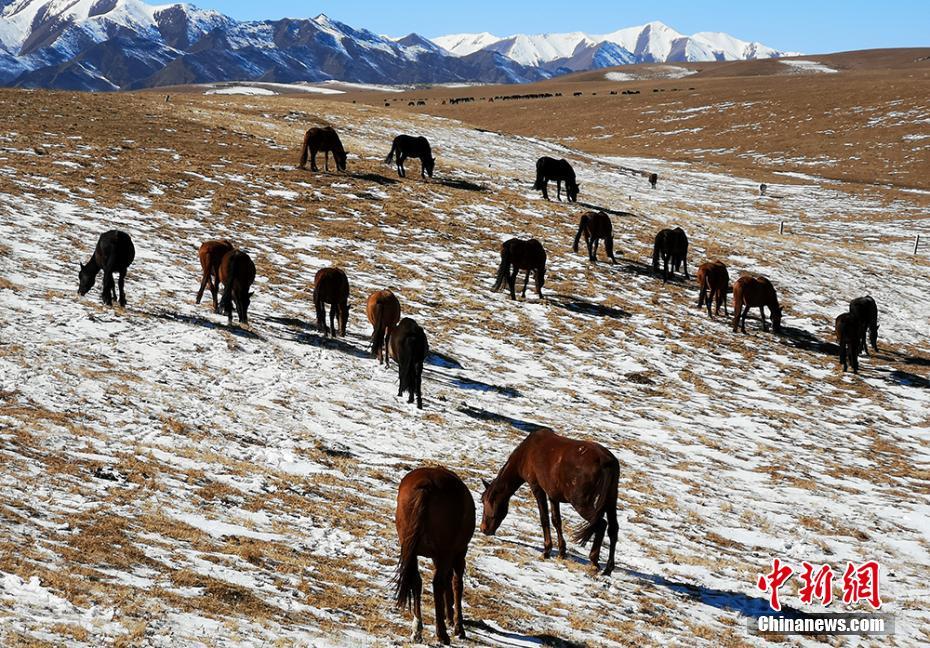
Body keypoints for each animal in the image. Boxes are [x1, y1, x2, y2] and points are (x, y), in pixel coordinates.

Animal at [394, 466, 475, 645]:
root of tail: (426, 486)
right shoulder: (458, 553)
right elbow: (456, 584)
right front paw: (458, 626)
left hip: (410, 549)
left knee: (416, 581)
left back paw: (417, 630)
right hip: (446, 552)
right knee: (438, 583)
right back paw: (442, 634)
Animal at [480, 429, 620, 576]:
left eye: (483, 501)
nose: (483, 529)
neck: (527, 452)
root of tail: (606, 461)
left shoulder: (537, 487)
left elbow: (544, 518)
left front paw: (547, 550)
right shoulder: (553, 495)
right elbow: (556, 520)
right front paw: (561, 551)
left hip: (581, 503)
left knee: (601, 524)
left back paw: (594, 561)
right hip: (611, 500)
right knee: (613, 529)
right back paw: (608, 568)